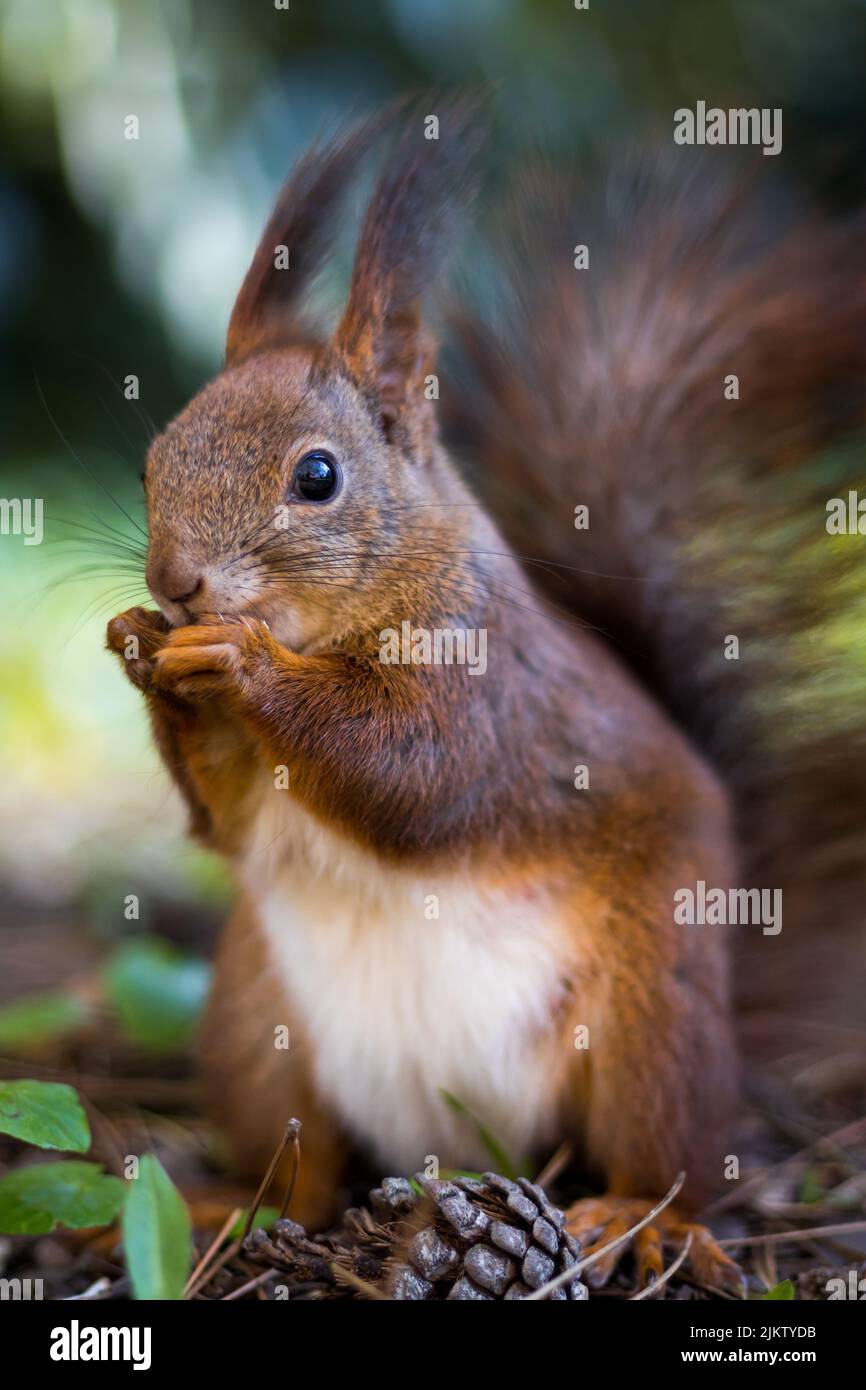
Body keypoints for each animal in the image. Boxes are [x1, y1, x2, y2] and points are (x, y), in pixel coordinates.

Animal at [106, 103, 866, 1293]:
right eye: (152, 461)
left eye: (317, 477)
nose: (174, 583)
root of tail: (456, 1146)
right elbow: (223, 819)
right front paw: (144, 649)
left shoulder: (493, 692)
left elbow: (414, 775)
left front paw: (242, 664)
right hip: (254, 1032)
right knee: (303, 1172)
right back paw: (241, 1203)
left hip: (654, 1009)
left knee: (674, 1151)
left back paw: (646, 1217)